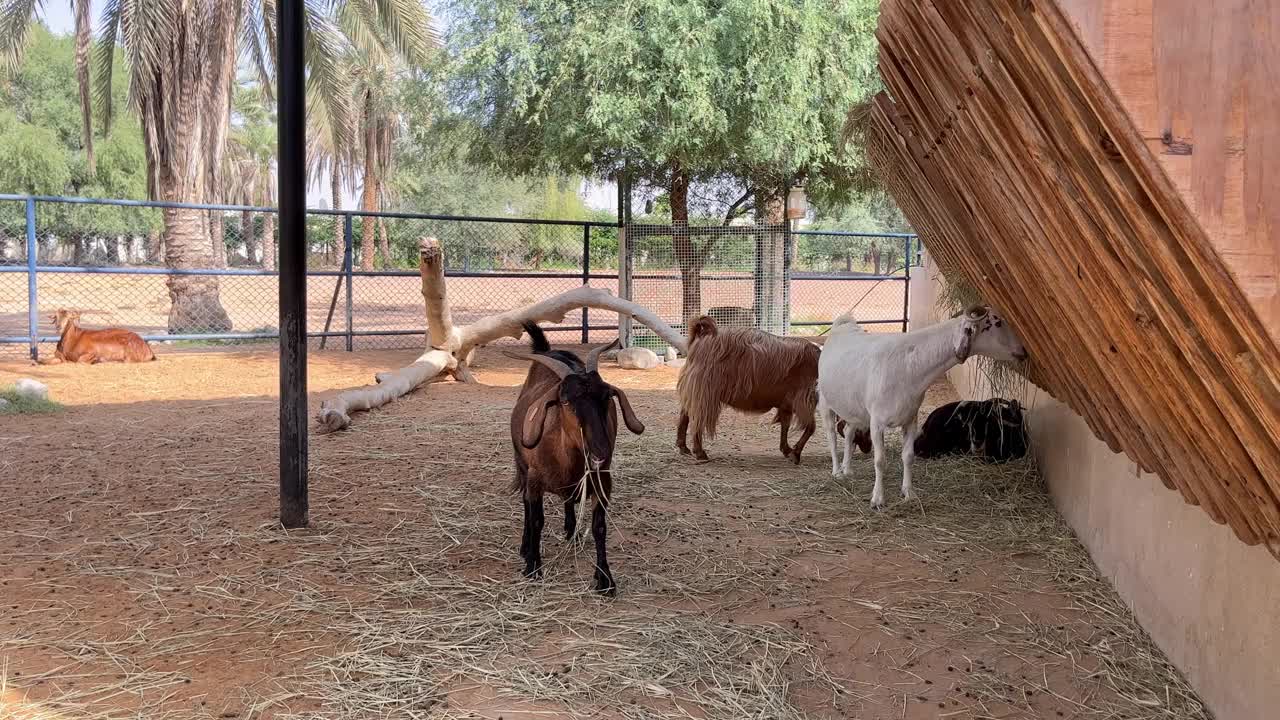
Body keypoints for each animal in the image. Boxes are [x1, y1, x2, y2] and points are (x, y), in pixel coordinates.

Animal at [504, 322, 645, 591]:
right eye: (566, 402)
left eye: (607, 397)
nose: (600, 449)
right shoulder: (534, 480)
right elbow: (536, 519)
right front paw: (533, 566)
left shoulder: (602, 480)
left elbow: (599, 526)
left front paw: (605, 579)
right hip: (523, 467)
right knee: (527, 505)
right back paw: (526, 547)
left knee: (569, 500)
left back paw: (571, 531)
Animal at [819, 304, 1029, 507]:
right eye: (997, 323)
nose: (1023, 352)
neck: (909, 366)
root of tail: (842, 325)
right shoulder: (877, 422)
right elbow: (879, 461)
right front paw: (877, 499)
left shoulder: (910, 418)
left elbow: (908, 456)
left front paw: (908, 493)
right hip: (825, 402)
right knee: (831, 435)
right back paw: (837, 471)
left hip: (854, 408)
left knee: (848, 432)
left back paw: (847, 470)